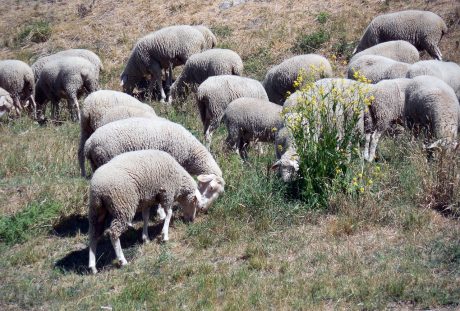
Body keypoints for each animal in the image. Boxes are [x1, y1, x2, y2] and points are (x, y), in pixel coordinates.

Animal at [85, 118, 226, 213]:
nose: (202, 208)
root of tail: (89, 143)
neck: (191, 153)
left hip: (95, 163)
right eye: (211, 187)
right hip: (104, 158)